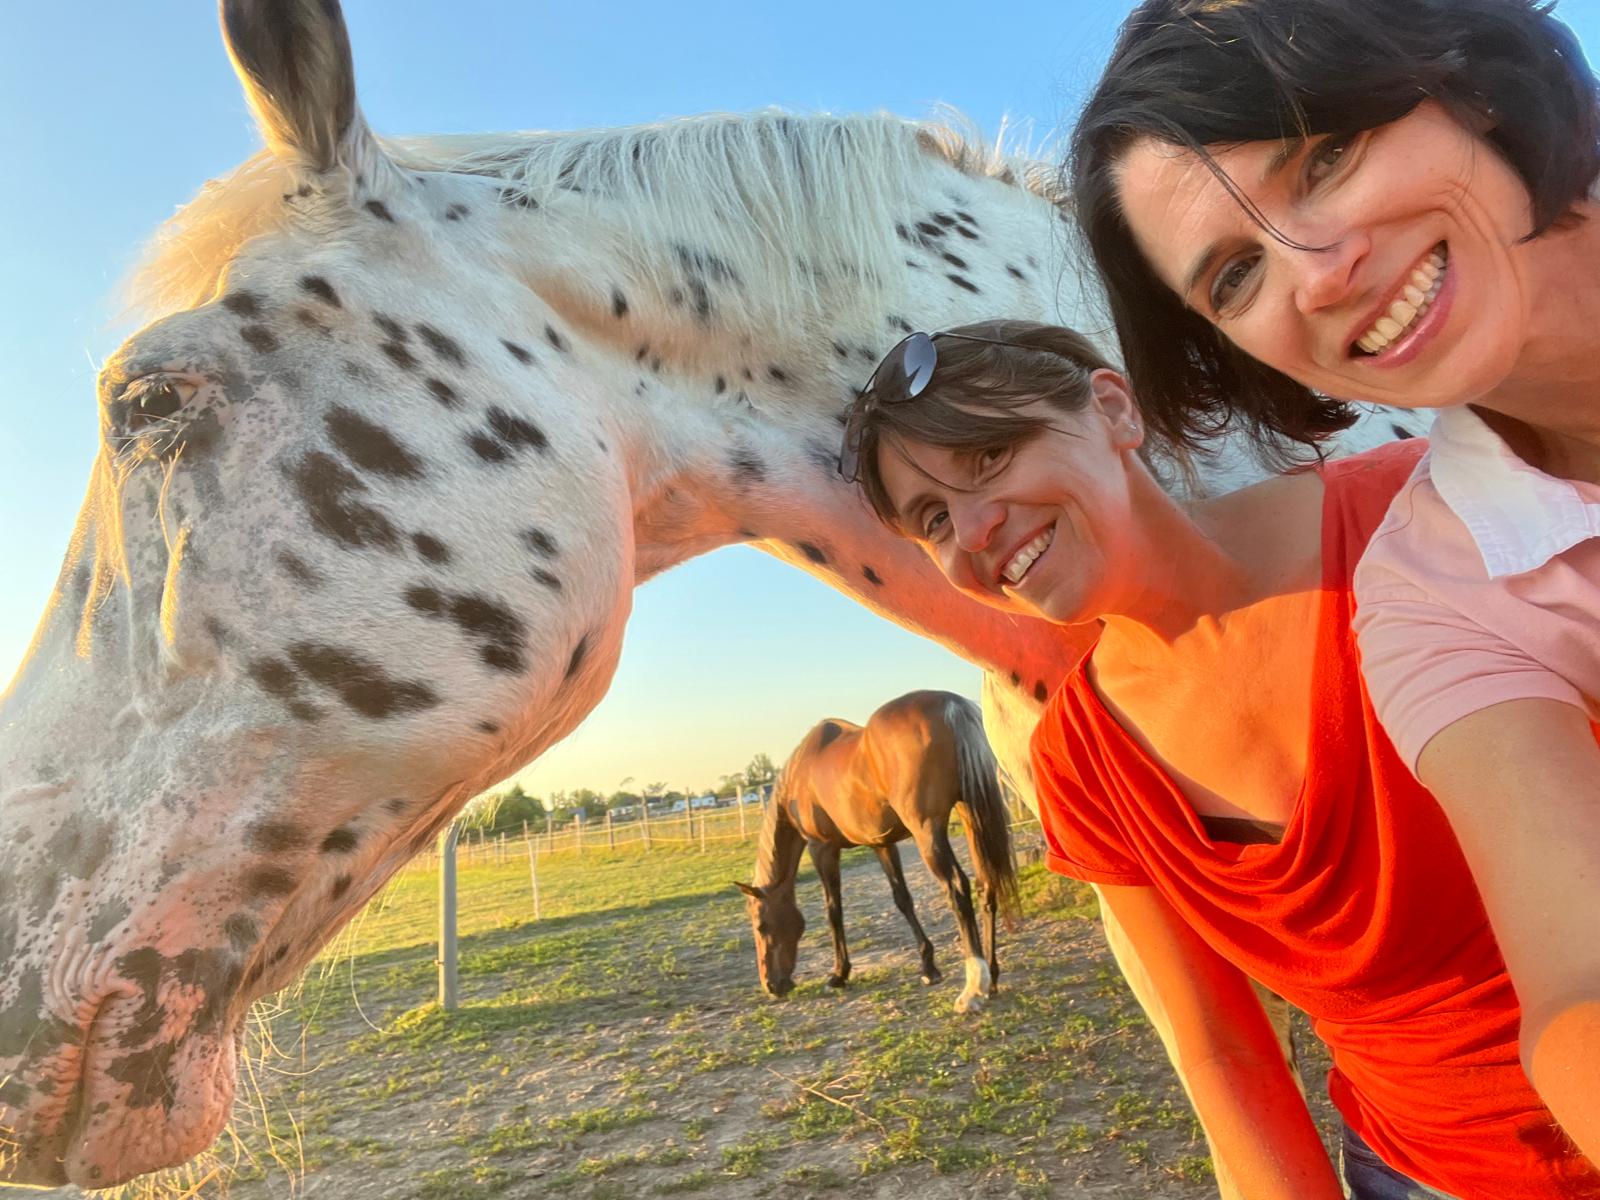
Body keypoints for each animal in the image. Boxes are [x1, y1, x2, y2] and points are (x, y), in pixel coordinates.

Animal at [736, 691, 1018, 1013]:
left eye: (761, 926)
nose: (771, 986)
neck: (799, 775)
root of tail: (952, 705)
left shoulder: (822, 848)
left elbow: (833, 909)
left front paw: (839, 974)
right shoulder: (881, 844)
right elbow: (902, 899)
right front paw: (928, 967)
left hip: (928, 832)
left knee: (958, 887)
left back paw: (973, 987)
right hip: (971, 813)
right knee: (987, 883)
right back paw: (991, 980)